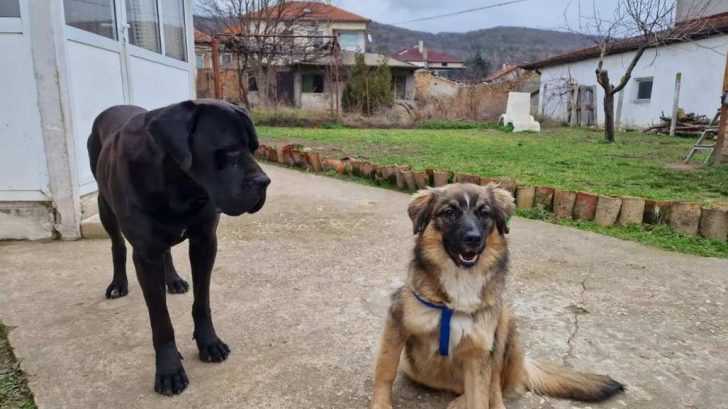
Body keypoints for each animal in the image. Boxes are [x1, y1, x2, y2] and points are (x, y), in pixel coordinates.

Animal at [87, 99, 270, 396]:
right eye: (230, 149)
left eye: (254, 149)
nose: (264, 182)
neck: (178, 183)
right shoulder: (145, 255)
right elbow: (161, 321)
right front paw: (169, 369)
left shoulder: (205, 241)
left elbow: (202, 301)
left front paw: (209, 342)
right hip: (104, 205)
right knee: (117, 245)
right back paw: (118, 283)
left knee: (168, 251)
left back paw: (172, 280)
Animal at [371, 183, 624, 409]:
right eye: (449, 212)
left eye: (484, 213)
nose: (473, 238)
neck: (461, 279)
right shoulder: (397, 321)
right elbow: (386, 369)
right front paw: (381, 405)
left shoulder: (479, 350)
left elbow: (482, 396)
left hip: (503, 322)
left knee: (495, 388)